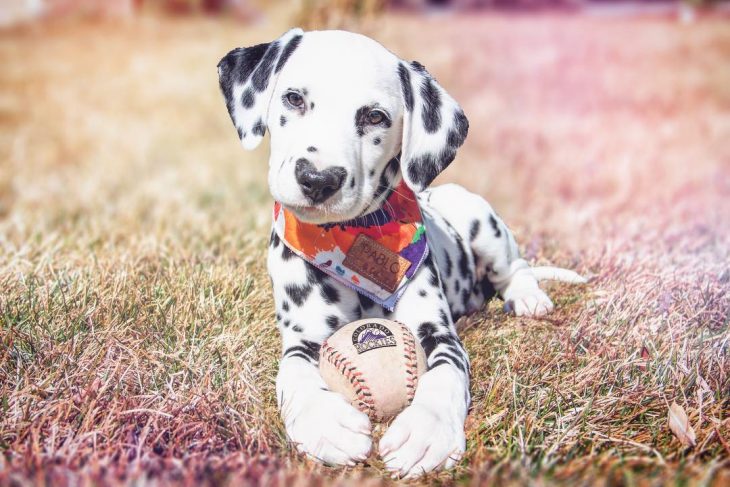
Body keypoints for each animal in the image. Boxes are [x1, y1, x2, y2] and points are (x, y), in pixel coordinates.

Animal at [215, 28, 580, 478]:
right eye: (294, 99)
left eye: (375, 117)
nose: (317, 179)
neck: (352, 245)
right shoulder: (303, 336)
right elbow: (294, 374)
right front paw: (325, 425)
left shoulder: (436, 331)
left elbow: (446, 373)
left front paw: (427, 431)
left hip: (481, 221)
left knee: (516, 267)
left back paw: (528, 297)